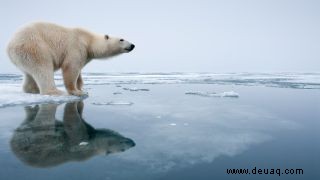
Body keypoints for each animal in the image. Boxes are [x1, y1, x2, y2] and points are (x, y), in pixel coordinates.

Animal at [6, 22, 134, 96]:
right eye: (122, 39)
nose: (132, 45)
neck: (88, 40)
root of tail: (9, 46)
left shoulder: (85, 54)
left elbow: (79, 71)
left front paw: (82, 88)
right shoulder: (76, 47)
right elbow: (71, 68)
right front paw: (77, 92)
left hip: (23, 56)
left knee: (29, 73)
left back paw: (33, 90)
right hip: (34, 46)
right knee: (43, 67)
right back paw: (56, 91)